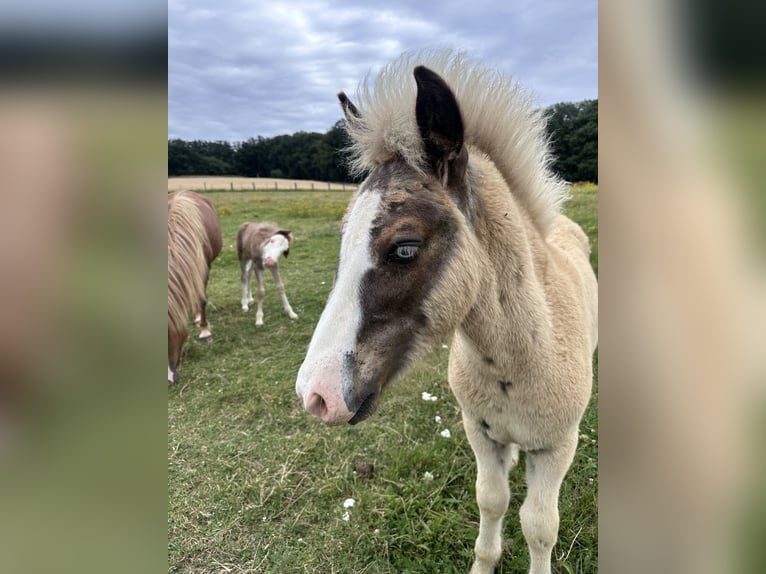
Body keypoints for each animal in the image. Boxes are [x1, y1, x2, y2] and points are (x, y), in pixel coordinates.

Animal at [296, 50, 604, 574]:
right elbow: (492, 501)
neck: (520, 358)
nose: (315, 395)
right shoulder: (477, 431)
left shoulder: (559, 446)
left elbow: (540, 526)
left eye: (404, 247)